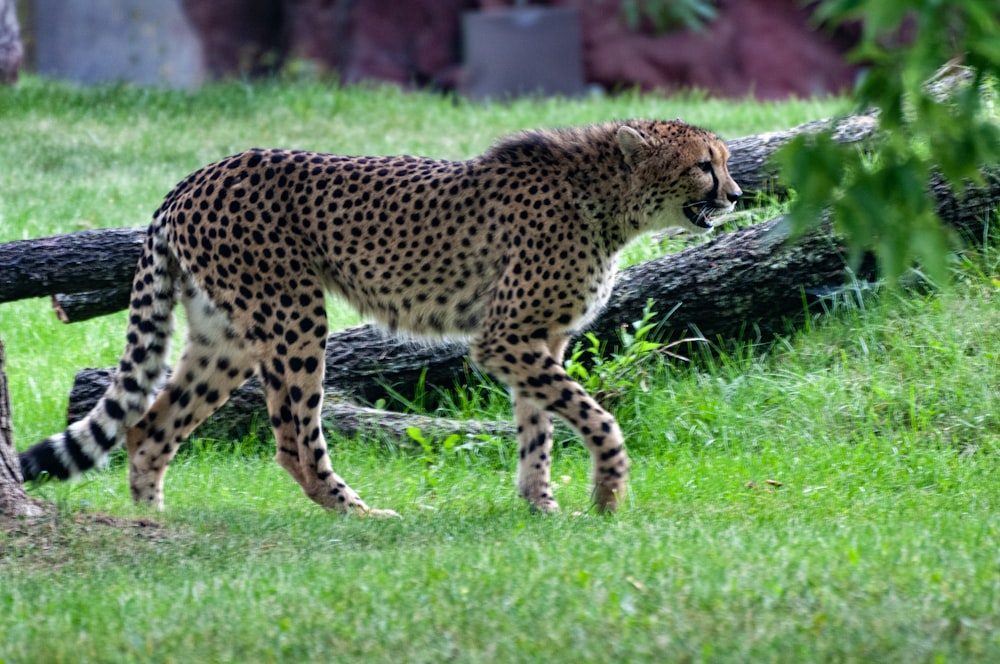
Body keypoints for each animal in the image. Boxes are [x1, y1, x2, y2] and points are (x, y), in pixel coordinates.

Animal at [19, 118, 744, 512]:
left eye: (724, 162)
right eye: (703, 165)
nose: (737, 195)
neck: (602, 197)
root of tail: (196, 177)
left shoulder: (538, 341)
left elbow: (538, 427)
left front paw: (540, 505)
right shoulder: (505, 339)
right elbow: (599, 418)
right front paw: (606, 496)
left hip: (225, 335)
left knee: (150, 427)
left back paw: (153, 523)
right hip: (293, 317)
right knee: (293, 443)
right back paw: (360, 513)